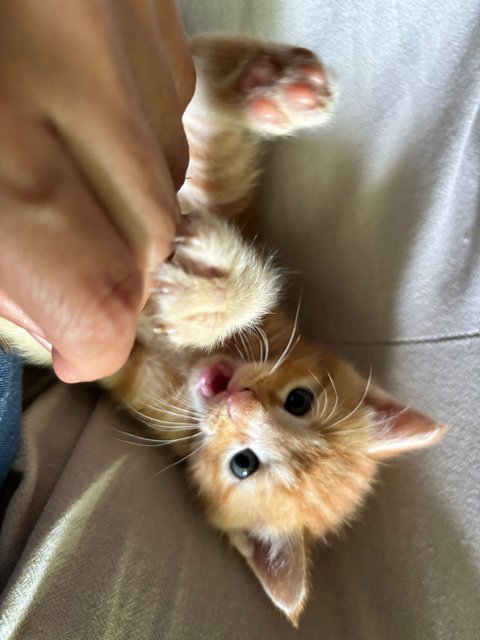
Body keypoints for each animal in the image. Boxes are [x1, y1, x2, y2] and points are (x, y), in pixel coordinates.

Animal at [0, 36, 446, 624]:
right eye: (300, 401)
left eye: (243, 465)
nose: (237, 399)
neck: (190, 363)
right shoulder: (205, 176)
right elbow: (204, 120)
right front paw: (270, 91)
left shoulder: (117, 367)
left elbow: (57, 337)